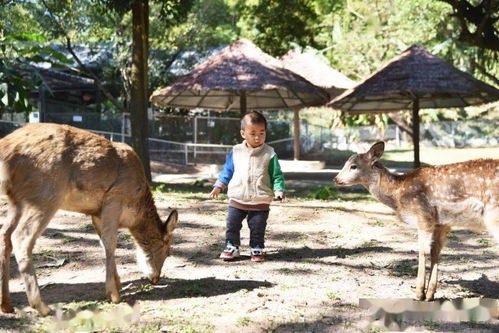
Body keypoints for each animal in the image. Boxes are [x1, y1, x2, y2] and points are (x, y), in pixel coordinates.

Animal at [0, 122, 180, 314]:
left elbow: (102, 243)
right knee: (21, 238)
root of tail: (7, 150)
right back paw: (42, 306)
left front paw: (118, 283)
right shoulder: (114, 198)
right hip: (45, 194)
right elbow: (110, 242)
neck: (135, 209)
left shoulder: (97, 213)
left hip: (17, 200)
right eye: (168, 251)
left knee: (5, 235)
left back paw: (6, 304)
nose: (156, 278)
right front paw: (114, 294)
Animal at [334, 141, 498, 300]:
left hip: (493, 215)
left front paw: (419, 293)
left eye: (353, 166)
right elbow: (435, 250)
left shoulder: (423, 214)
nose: (336, 179)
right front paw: (430, 294)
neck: (397, 194)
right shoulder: (442, 223)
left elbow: (421, 250)